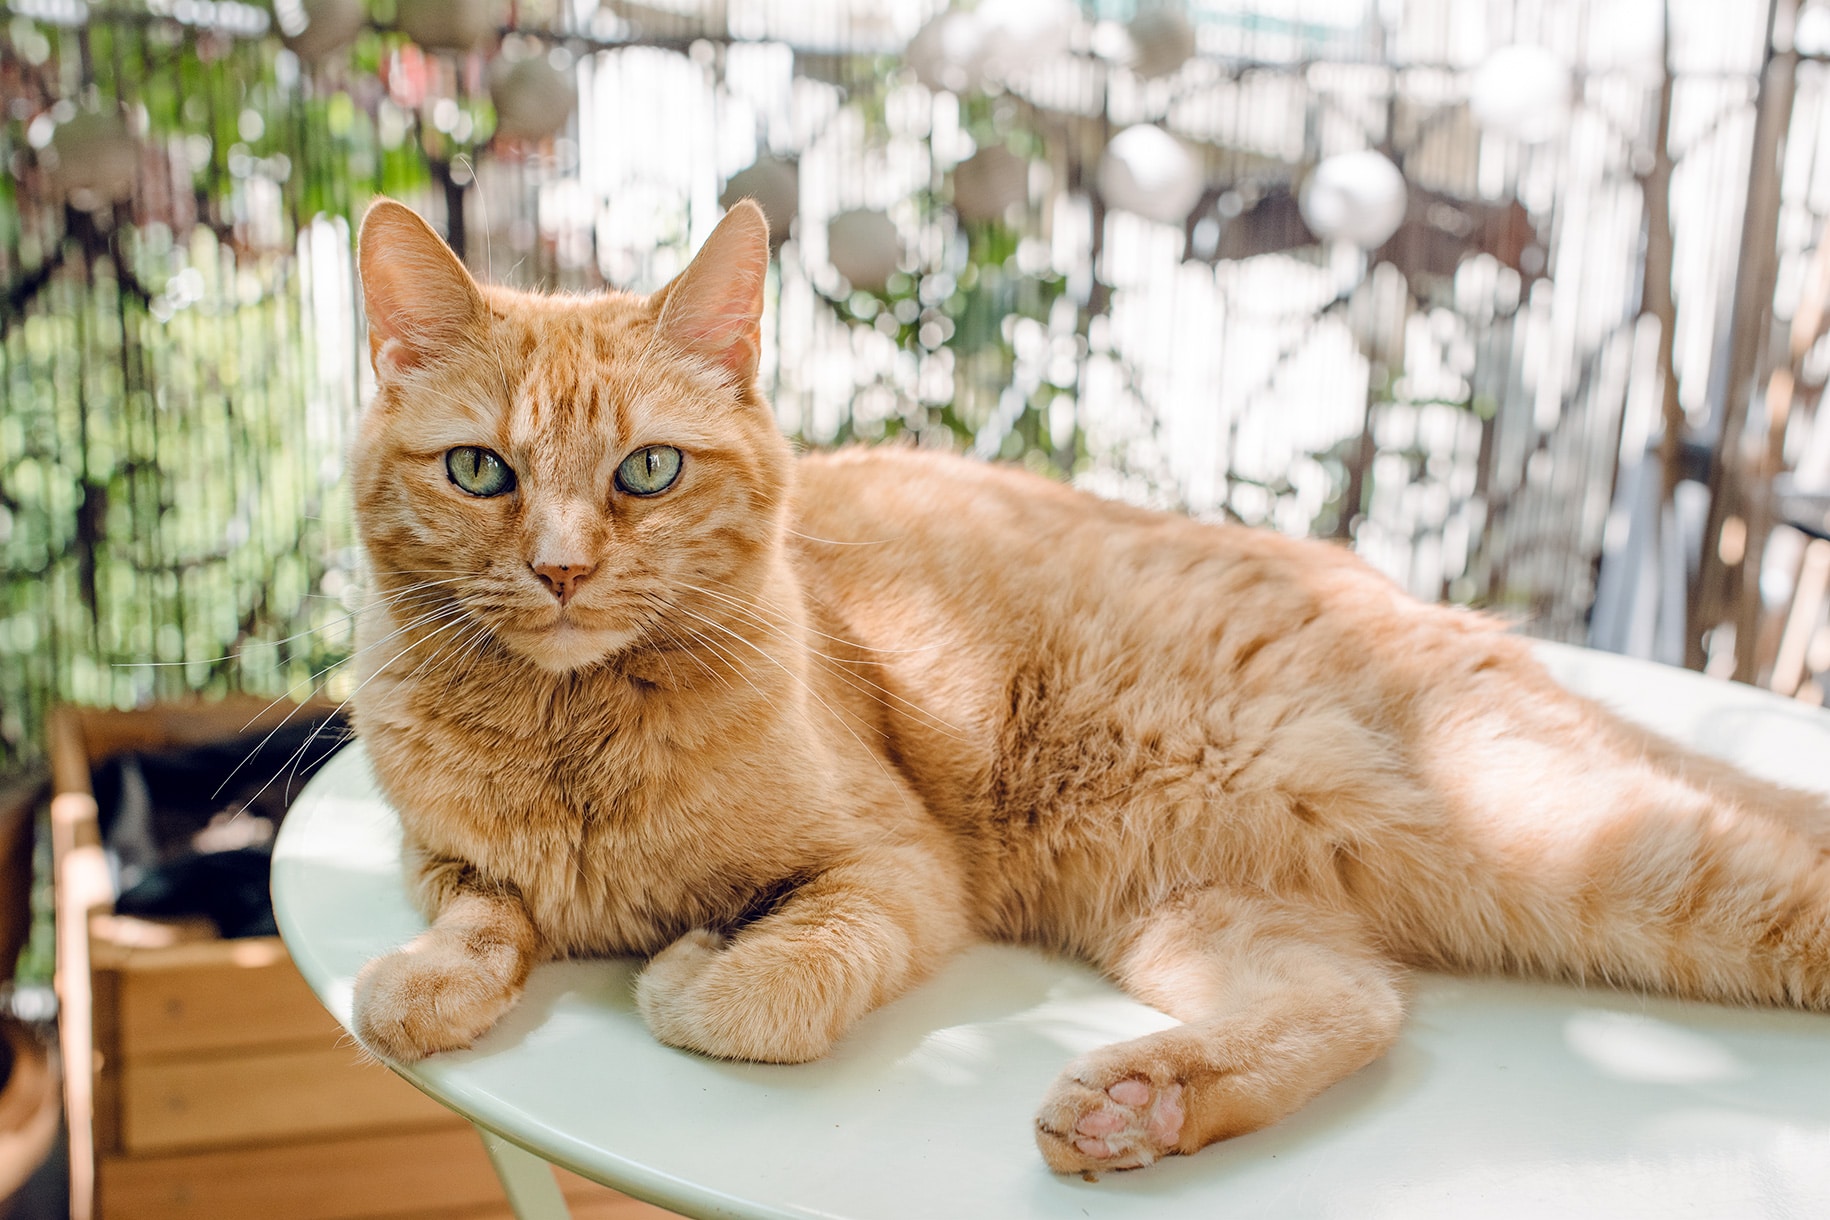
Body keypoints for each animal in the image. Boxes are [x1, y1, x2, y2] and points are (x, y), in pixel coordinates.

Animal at [345, 198, 1830, 1170]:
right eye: (480, 470)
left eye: (646, 470)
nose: (560, 570)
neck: (572, 734)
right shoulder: (433, 847)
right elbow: (473, 908)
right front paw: (427, 980)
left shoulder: (896, 867)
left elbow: (757, 996)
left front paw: (694, 957)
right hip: (1189, 899)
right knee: (1357, 1005)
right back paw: (1145, 1104)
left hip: (1565, 838)